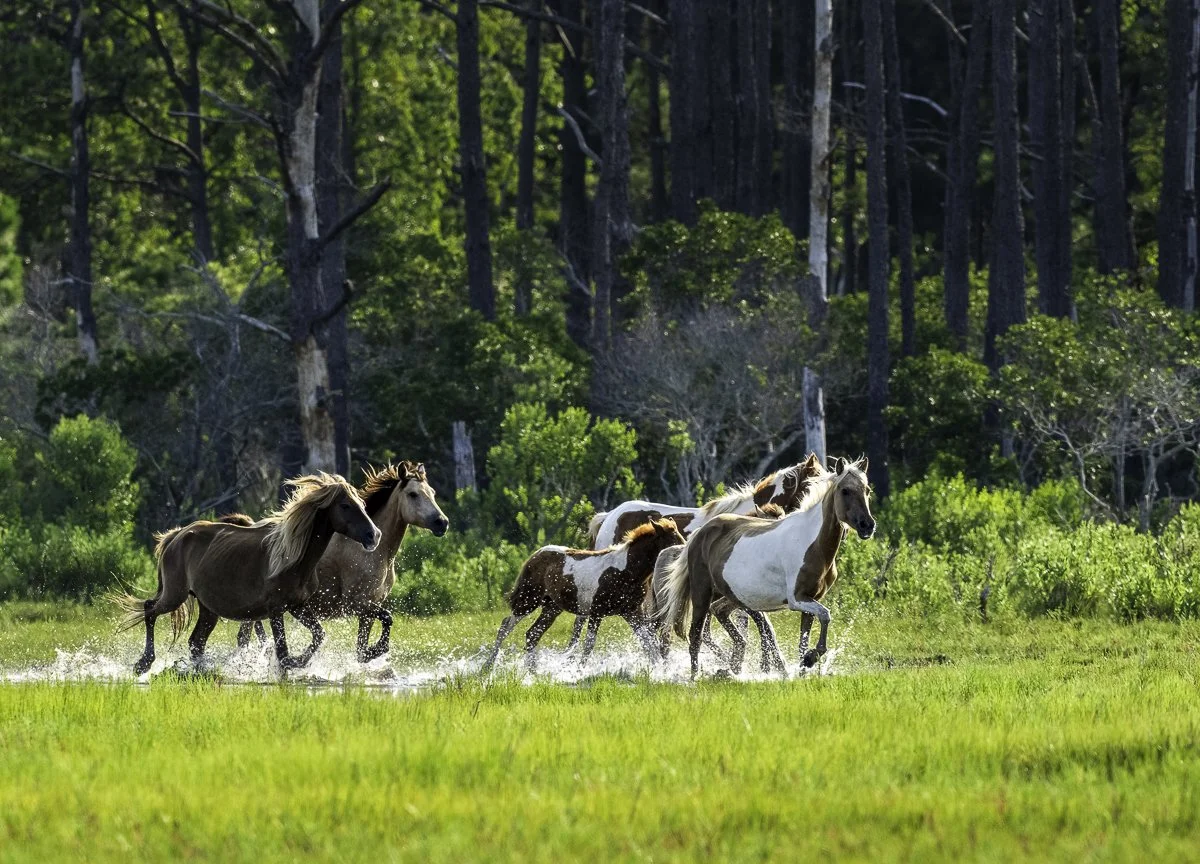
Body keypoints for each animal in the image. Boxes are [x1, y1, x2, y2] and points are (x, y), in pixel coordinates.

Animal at [118, 473, 380, 674]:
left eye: (361, 503)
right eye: (345, 505)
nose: (374, 535)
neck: (294, 560)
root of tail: (177, 535)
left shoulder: (298, 606)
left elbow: (318, 635)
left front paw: (299, 661)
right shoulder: (276, 610)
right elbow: (282, 649)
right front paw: (288, 666)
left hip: (207, 608)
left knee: (196, 642)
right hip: (175, 594)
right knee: (150, 610)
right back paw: (143, 664)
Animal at [234, 461, 449, 663]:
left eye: (432, 493)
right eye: (413, 494)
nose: (442, 522)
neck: (372, 553)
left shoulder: (369, 608)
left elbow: (362, 647)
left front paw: (371, 653)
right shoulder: (358, 603)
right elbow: (387, 618)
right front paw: (376, 650)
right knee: (244, 638)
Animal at [483, 518, 687, 672]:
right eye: (673, 540)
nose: (684, 553)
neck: (626, 570)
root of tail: (536, 555)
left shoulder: (632, 612)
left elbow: (648, 641)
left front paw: (659, 669)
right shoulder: (597, 611)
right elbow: (589, 644)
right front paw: (579, 670)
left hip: (551, 607)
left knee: (532, 634)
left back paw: (532, 670)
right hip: (528, 600)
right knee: (506, 625)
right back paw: (487, 666)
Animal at [657, 458, 875, 679]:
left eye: (867, 490)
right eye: (845, 490)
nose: (867, 525)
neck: (812, 542)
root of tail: (701, 532)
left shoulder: (810, 600)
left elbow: (804, 640)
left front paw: (804, 666)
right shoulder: (798, 599)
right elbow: (825, 615)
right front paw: (809, 659)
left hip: (732, 596)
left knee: (718, 616)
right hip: (702, 592)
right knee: (695, 636)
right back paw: (695, 677)